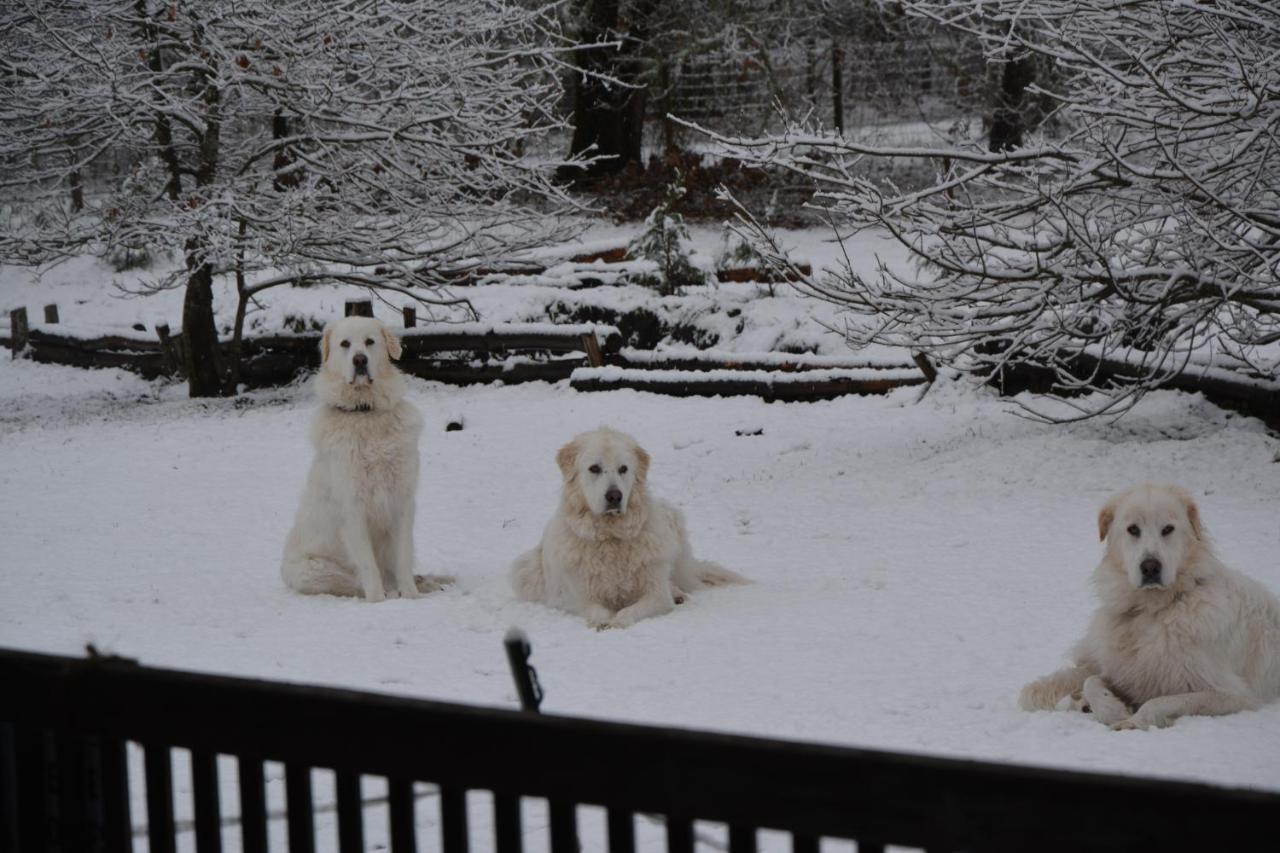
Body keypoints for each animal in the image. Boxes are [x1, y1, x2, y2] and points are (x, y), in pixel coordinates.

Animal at [280, 315, 450, 601]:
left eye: (370, 342)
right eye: (345, 344)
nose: (360, 360)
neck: (365, 413)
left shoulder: (402, 500)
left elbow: (403, 557)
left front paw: (411, 596)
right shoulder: (352, 507)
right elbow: (369, 566)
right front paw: (379, 600)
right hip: (311, 571)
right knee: (354, 582)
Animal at [514, 422, 747, 625]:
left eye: (623, 469)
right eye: (594, 468)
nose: (614, 496)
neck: (611, 537)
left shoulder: (656, 595)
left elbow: (631, 611)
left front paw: (618, 621)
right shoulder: (575, 597)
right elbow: (597, 610)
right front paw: (604, 621)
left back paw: (677, 593)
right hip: (525, 568)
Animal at [1018, 481, 1280, 727]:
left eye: (1168, 529)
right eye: (1133, 529)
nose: (1150, 567)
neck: (1152, 611)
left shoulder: (1233, 695)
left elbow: (1162, 702)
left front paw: (1133, 722)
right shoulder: (1126, 673)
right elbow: (1091, 681)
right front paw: (1111, 708)